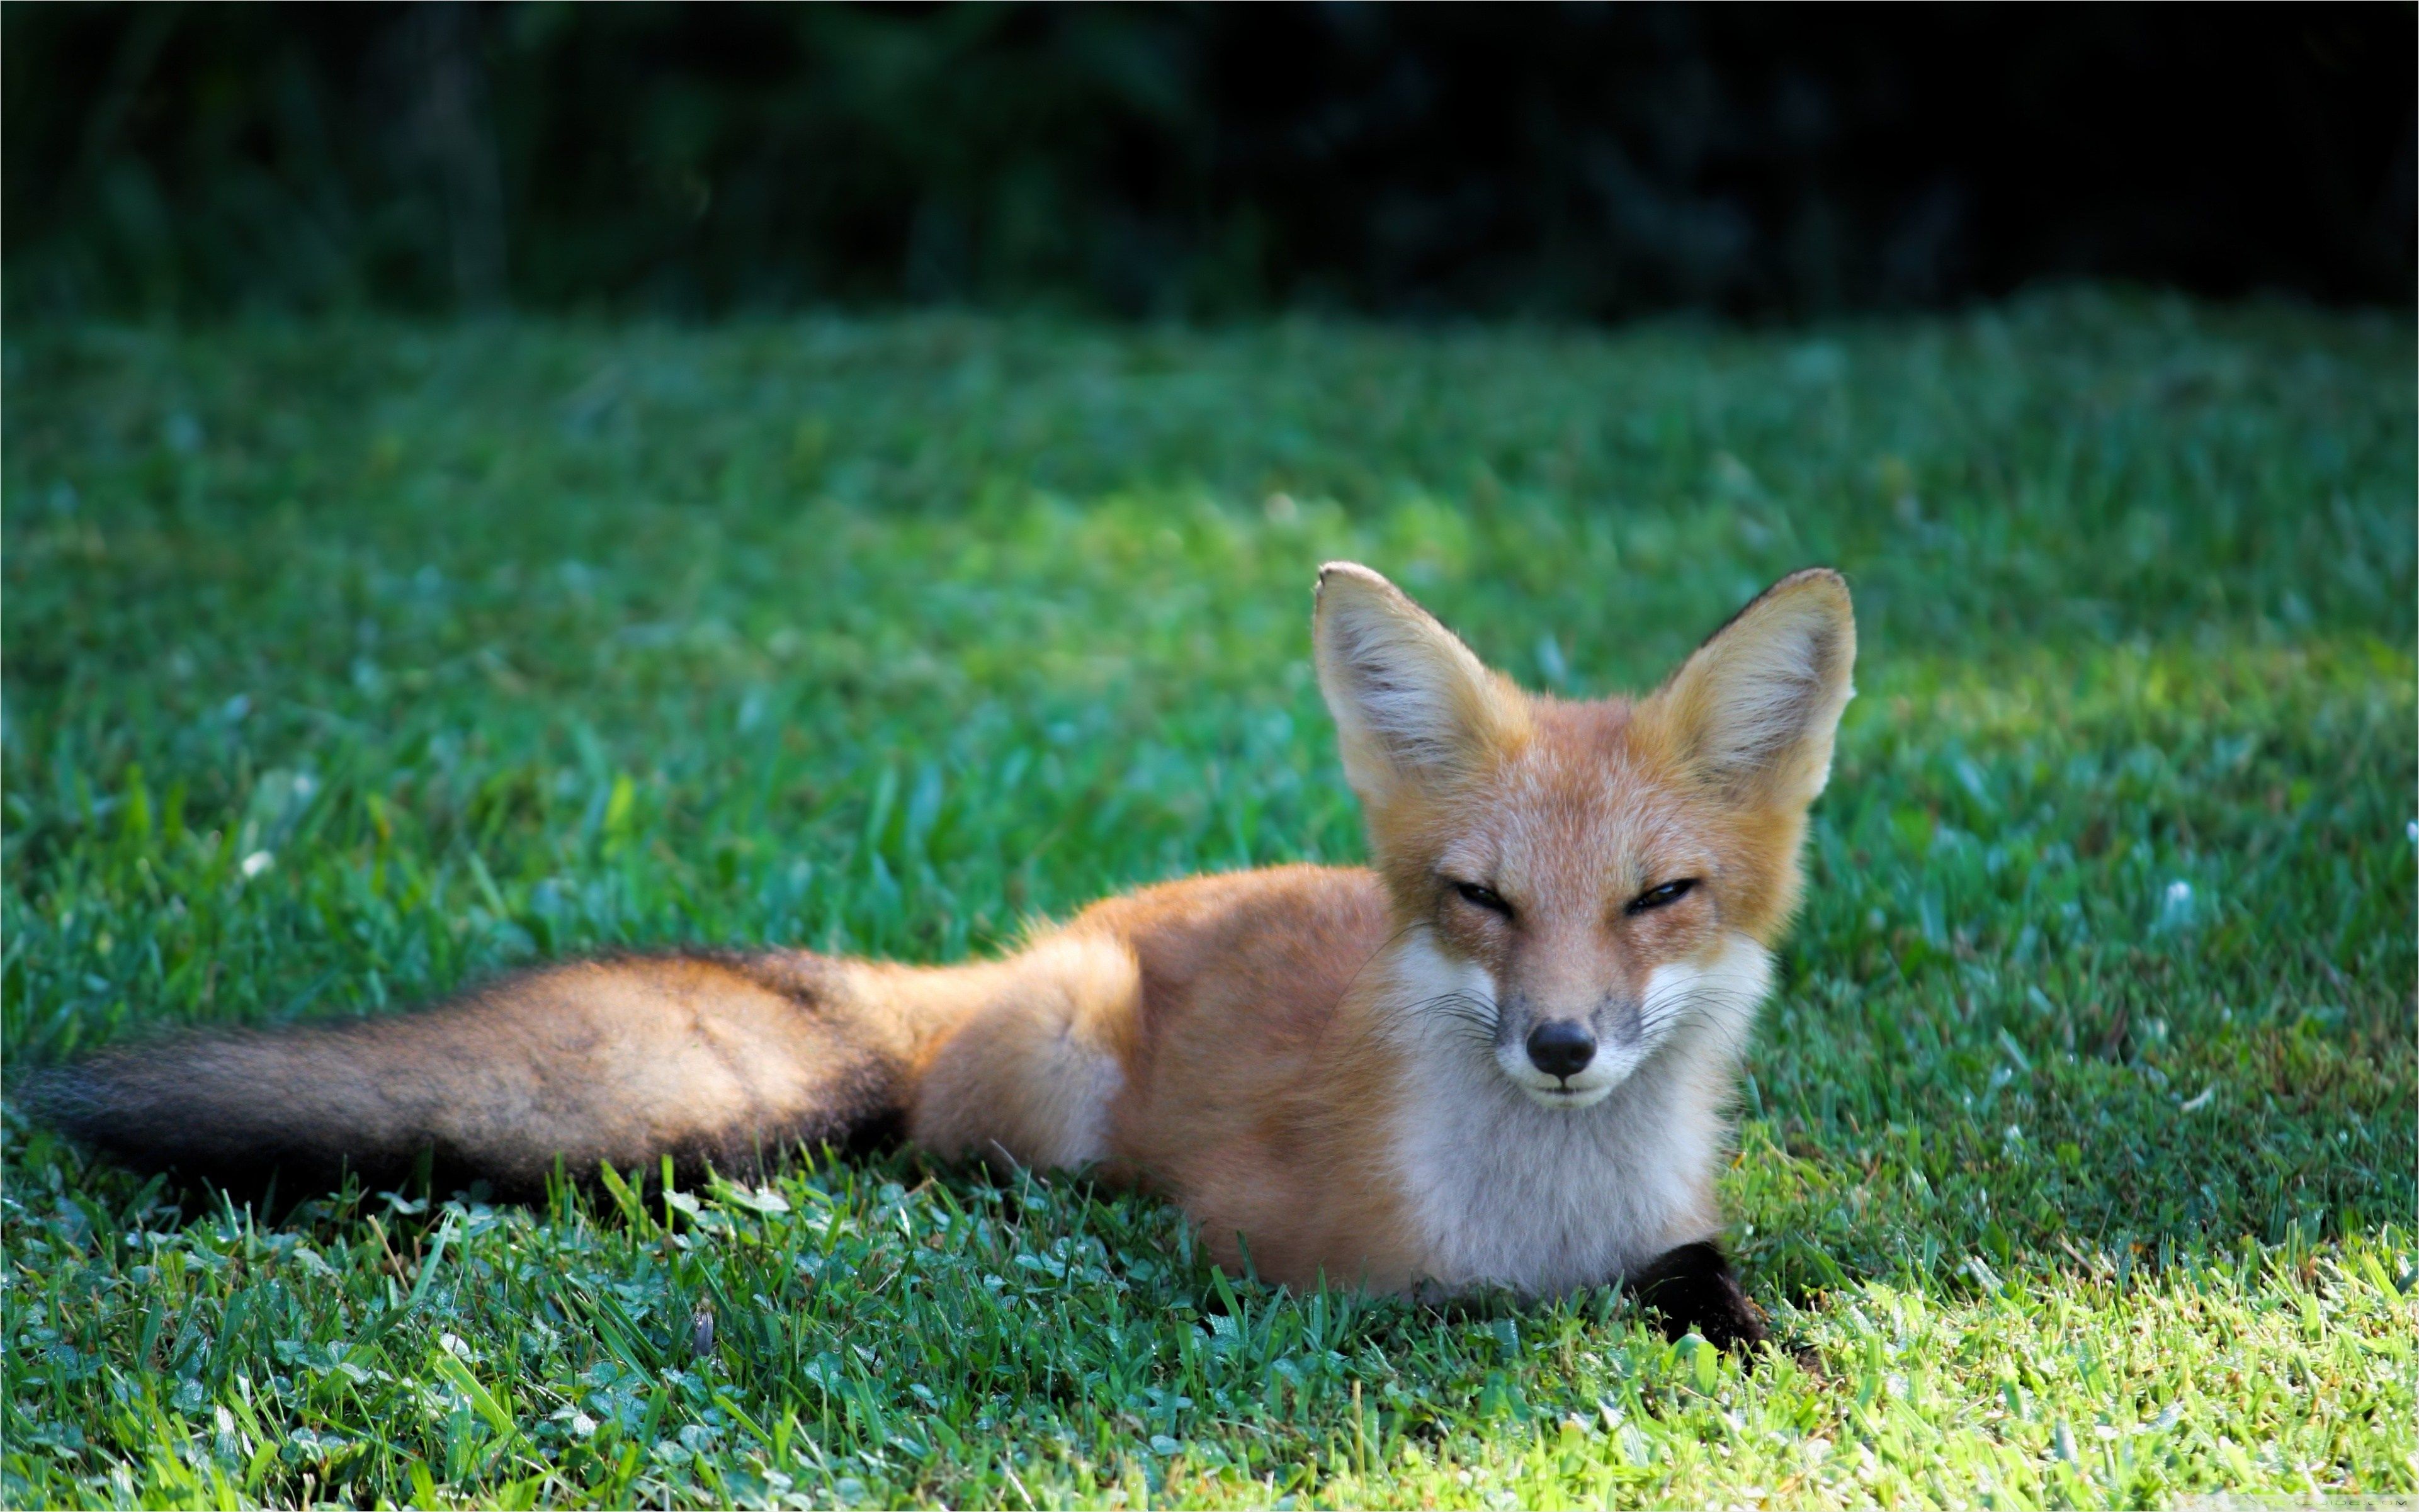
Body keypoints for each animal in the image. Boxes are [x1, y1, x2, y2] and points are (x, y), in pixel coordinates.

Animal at [27, 562, 1854, 1350]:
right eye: (1480, 899)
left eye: (1658, 896)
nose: (1559, 1046)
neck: (1543, 1205)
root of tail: (1025, 948)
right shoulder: (1273, 1253)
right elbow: (1452, 1310)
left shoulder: (1671, 1222)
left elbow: (1707, 1286)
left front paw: (1760, 1343)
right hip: (1053, 1083)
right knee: (935, 1148)